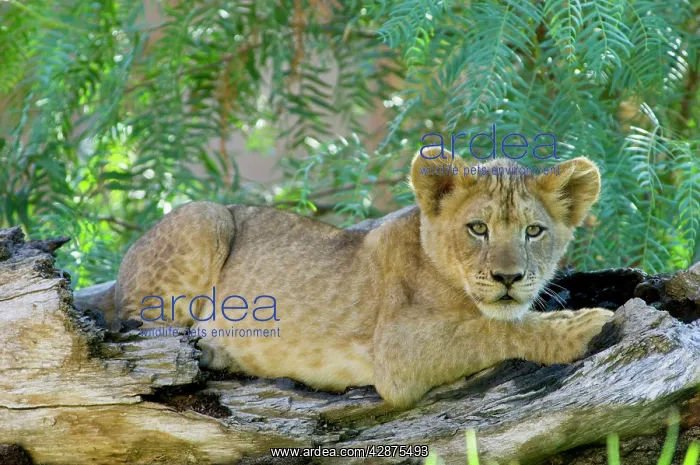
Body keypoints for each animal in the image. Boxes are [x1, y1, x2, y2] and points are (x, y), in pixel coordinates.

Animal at [106, 148, 613, 408]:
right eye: (478, 228)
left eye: (534, 231)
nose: (509, 277)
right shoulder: (399, 354)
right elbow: (493, 329)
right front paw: (581, 326)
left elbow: (495, 323)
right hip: (206, 217)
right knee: (139, 329)